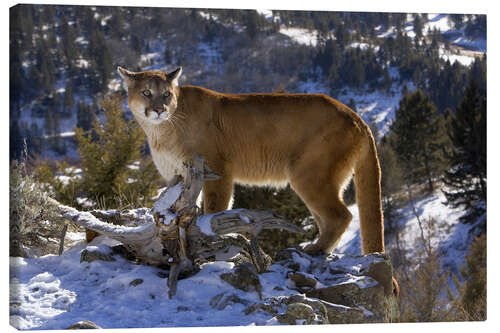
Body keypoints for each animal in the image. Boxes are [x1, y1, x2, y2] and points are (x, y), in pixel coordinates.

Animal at [119, 67, 384, 254]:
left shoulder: (217, 168)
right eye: (146, 93)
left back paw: (316, 249)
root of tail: (357, 117)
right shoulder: (178, 175)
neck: (162, 130)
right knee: (327, 217)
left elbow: (215, 207)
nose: (159, 109)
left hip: (309, 174)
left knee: (341, 215)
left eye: (166, 94)